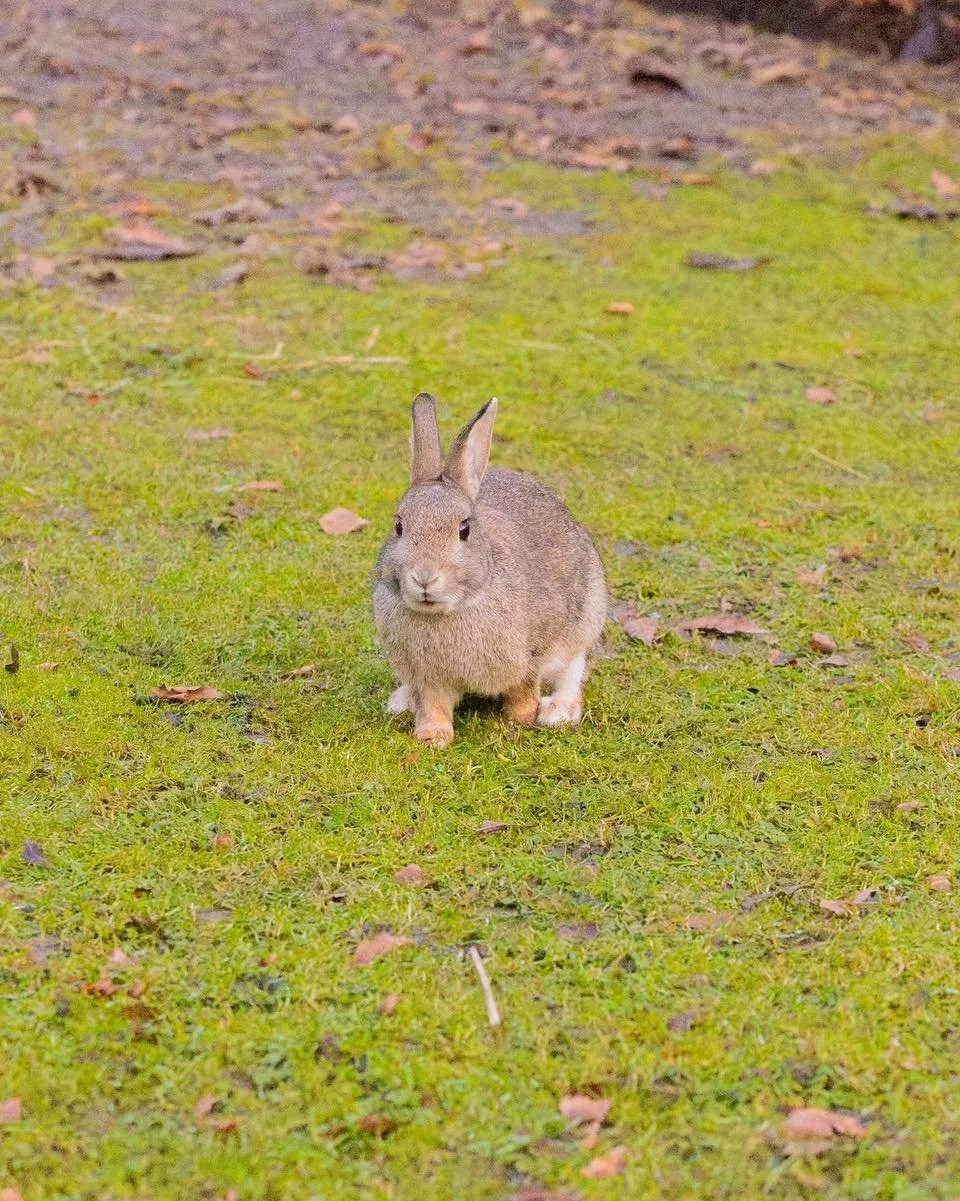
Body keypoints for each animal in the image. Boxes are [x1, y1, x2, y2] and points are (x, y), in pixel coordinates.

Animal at [373, 392, 607, 748]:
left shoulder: (530, 655)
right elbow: (433, 704)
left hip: (586, 616)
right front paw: (433, 738)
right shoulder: (426, 676)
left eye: (464, 530)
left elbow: (524, 690)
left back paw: (557, 712)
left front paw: (521, 721)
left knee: (574, 671)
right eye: (399, 527)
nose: (424, 578)